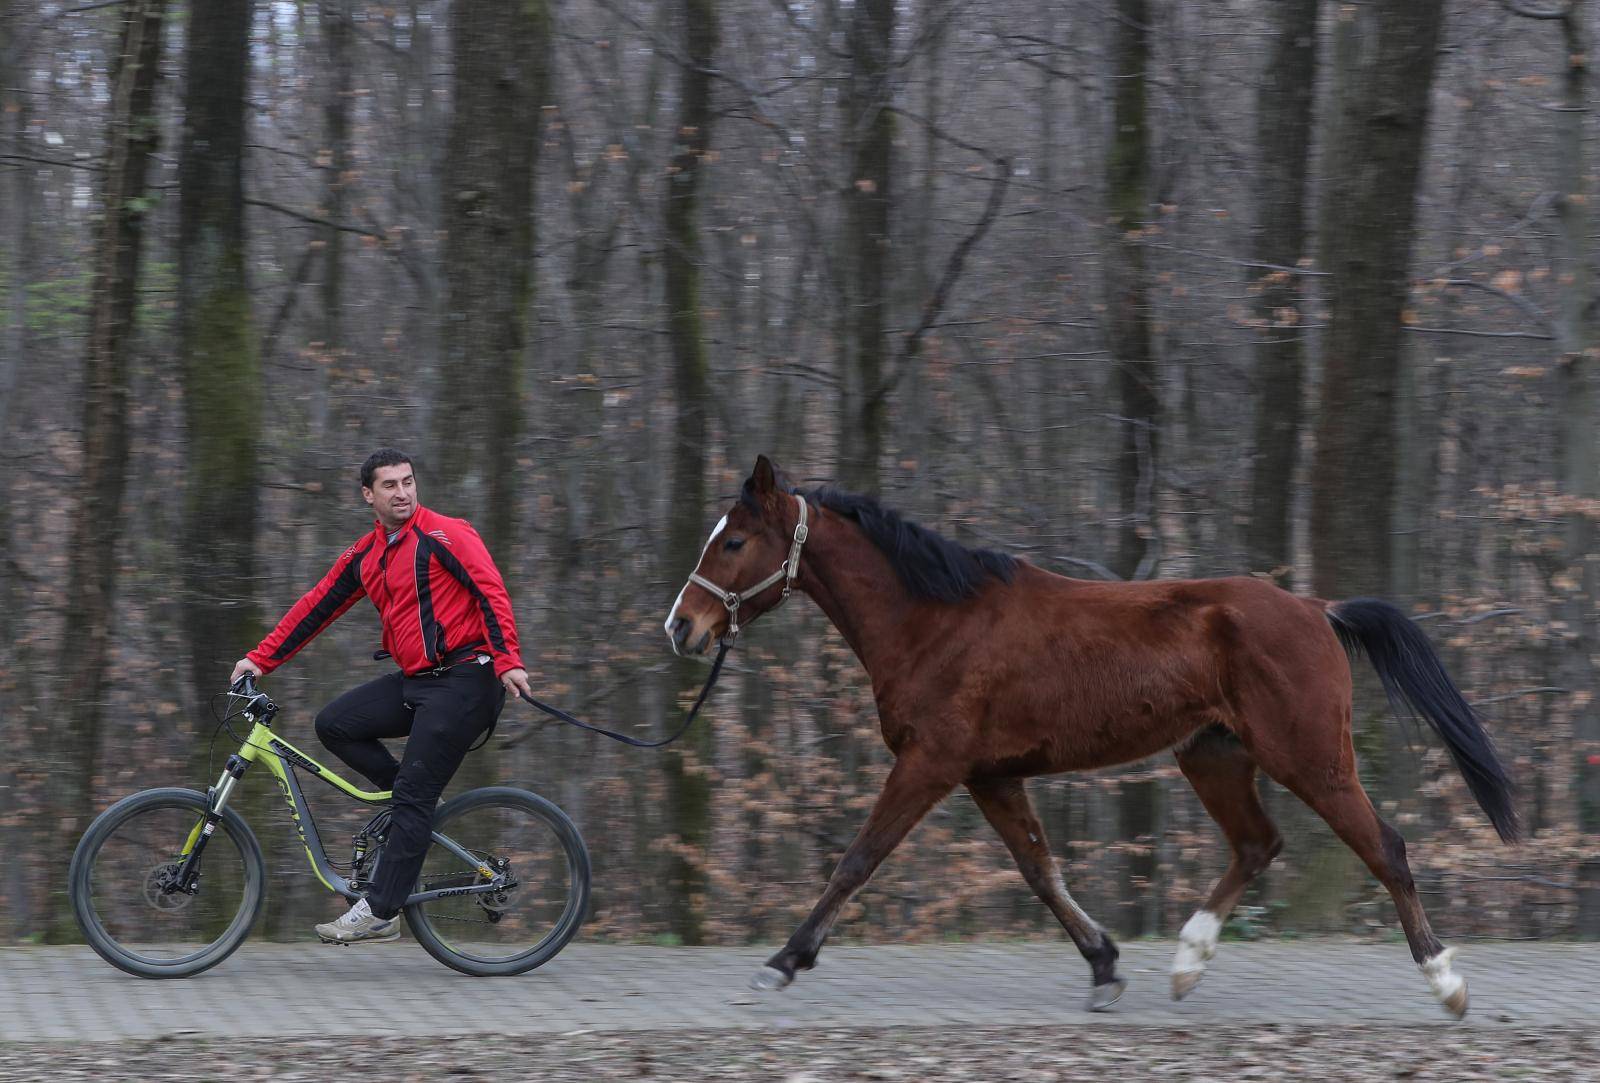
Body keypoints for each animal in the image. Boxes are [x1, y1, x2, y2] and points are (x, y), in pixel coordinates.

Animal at [662, 457, 1510, 1011]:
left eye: (733, 541)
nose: (682, 627)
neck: (936, 620)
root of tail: (1319, 609)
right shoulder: (991, 773)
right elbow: (1042, 870)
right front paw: (1105, 966)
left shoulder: (931, 763)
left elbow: (856, 861)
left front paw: (782, 961)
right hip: (1214, 756)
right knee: (1256, 844)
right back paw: (1186, 963)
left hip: (1311, 758)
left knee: (1385, 847)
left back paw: (1446, 981)